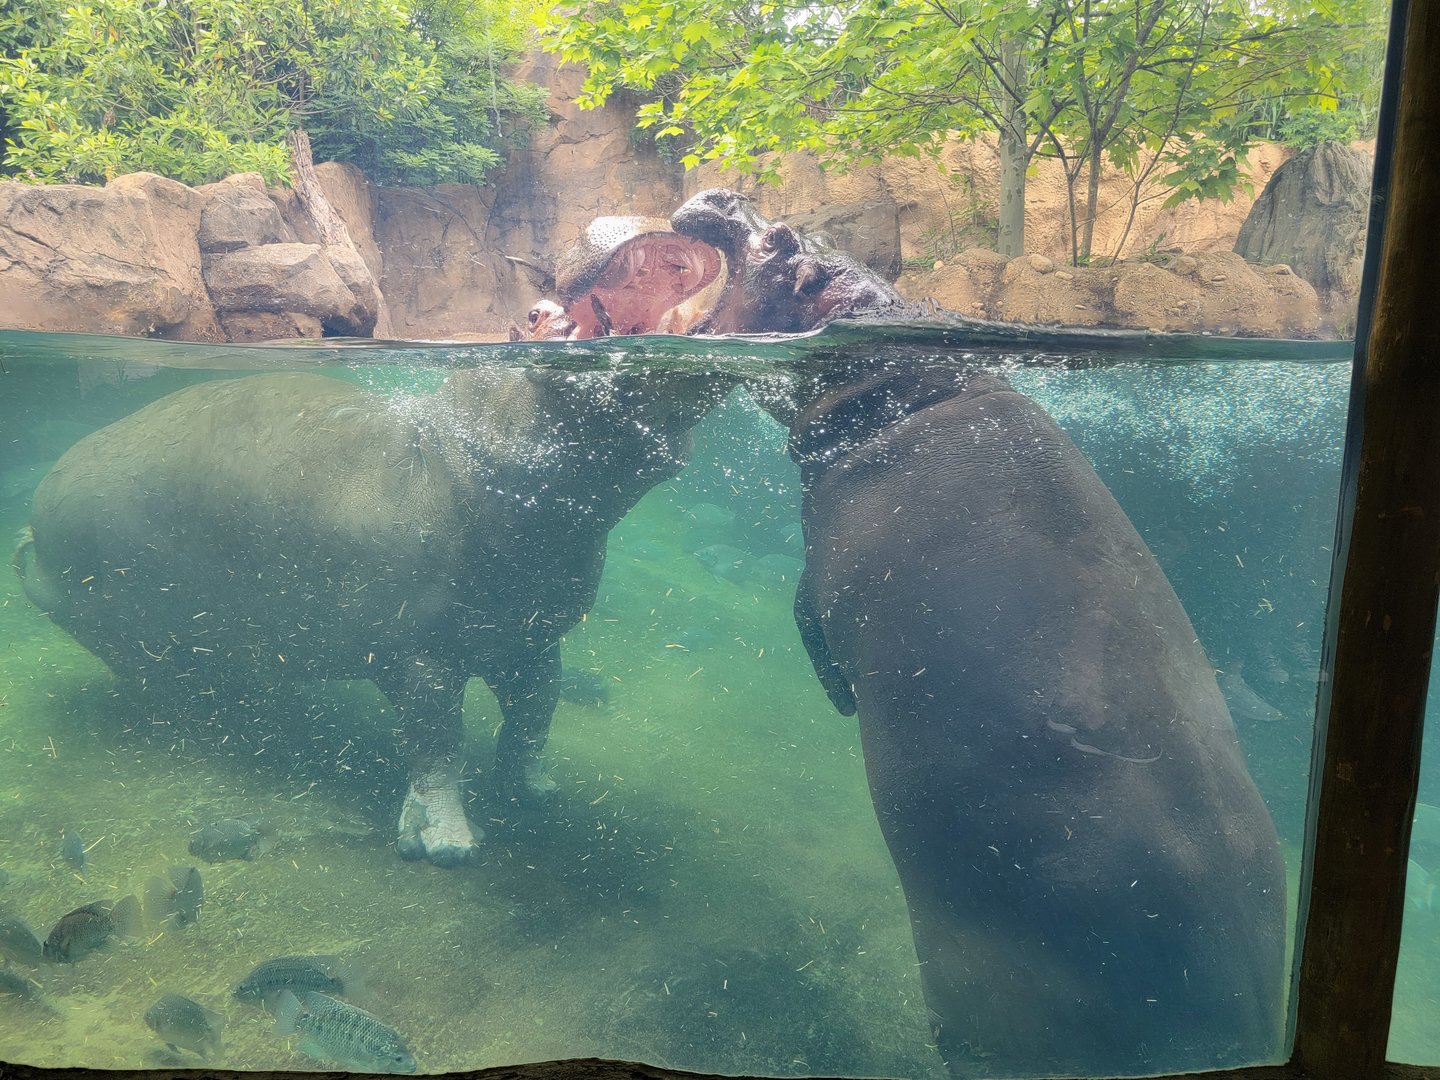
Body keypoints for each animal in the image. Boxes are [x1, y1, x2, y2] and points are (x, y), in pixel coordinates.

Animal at [14, 217, 728, 868]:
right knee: (146, 669)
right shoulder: (416, 653)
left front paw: (536, 793)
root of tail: (34, 526)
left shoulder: (528, 635)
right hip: (108, 613)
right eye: (534, 316)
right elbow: (438, 741)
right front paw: (446, 845)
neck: (464, 450)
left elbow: (535, 715)